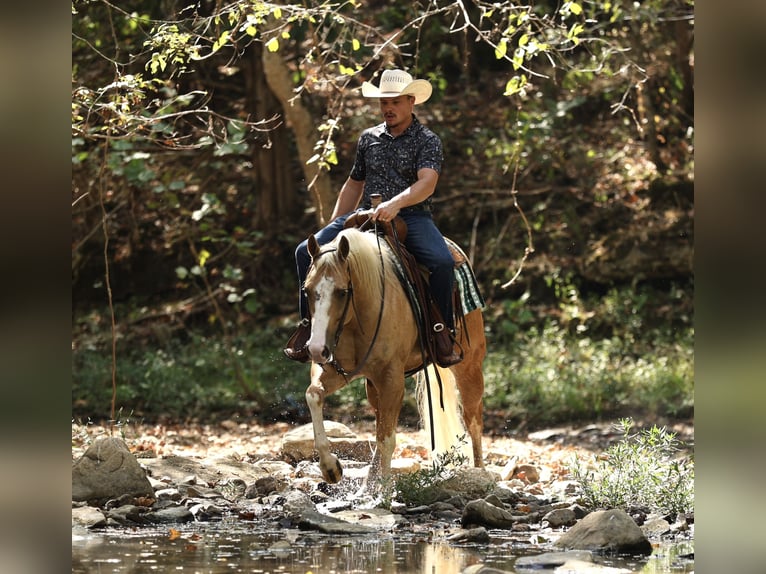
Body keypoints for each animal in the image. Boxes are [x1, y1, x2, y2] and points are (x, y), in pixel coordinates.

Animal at [302, 226, 486, 488]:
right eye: (306, 290)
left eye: (342, 292)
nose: (316, 349)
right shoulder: (336, 369)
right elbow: (314, 395)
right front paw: (331, 468)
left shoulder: (392, 379)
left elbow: (387, 440)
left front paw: (383, 494)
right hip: (372, 385)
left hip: (469, 366)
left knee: (474, 420)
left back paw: (481, 475)